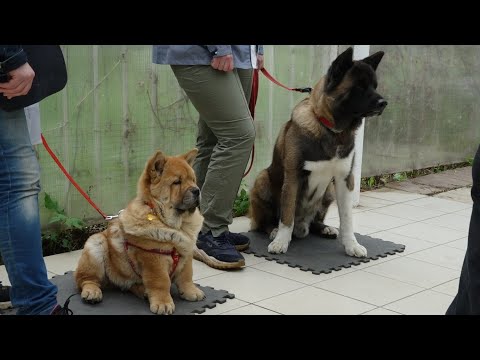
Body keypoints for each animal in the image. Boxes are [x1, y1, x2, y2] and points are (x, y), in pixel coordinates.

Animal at [74, 148, 205, 314]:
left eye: (193, 180)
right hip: (95, 245)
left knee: (128, 285)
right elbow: (161, 282)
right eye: (177, 182)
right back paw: (92, 292)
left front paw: (192, 292)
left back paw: (142, 291)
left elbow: (187, 275)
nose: (197, 190)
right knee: (86, 279)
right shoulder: (153, 258)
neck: (177, 225)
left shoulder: (186, 251)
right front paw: (163, 304)